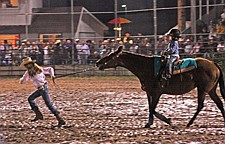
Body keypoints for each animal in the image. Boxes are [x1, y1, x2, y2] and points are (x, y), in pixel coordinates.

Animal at [96, 45, 225, 127]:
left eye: (111, 55)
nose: (98, 62)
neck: (147, 67)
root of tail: (213, 64)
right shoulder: (149, 93)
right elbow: (150, 108)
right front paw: (148, 123)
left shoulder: (157, 93)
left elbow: (153, 109)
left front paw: (168, 121)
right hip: (211, 90)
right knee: (219, 103)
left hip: (203, 89)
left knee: (200, 105)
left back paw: (189, 123)